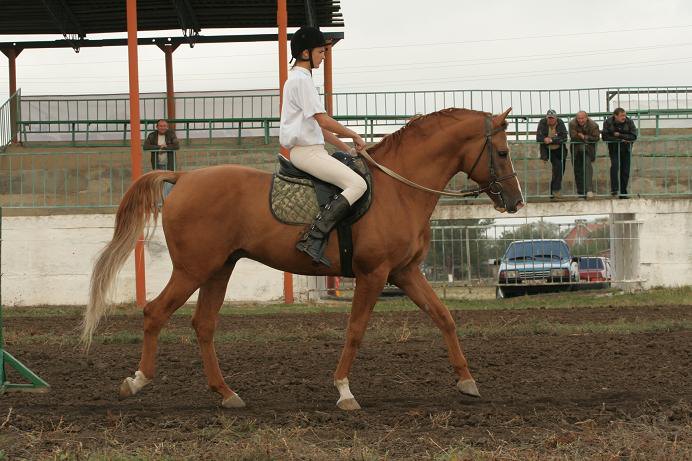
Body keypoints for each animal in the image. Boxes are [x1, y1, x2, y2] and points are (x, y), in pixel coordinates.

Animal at [82, 107, 524, 410]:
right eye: (502, 152)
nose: (516, 201)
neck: (399, 189)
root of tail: (184, 178)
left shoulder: (404, 271)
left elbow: (443, 317)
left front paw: (467, 381)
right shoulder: (374, 274)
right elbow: (355, 331)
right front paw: (344, 391)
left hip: (219, 269)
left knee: (203, 324)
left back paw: (226, 392)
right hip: (193, 269)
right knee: (155, 313)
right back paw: (137, 381)